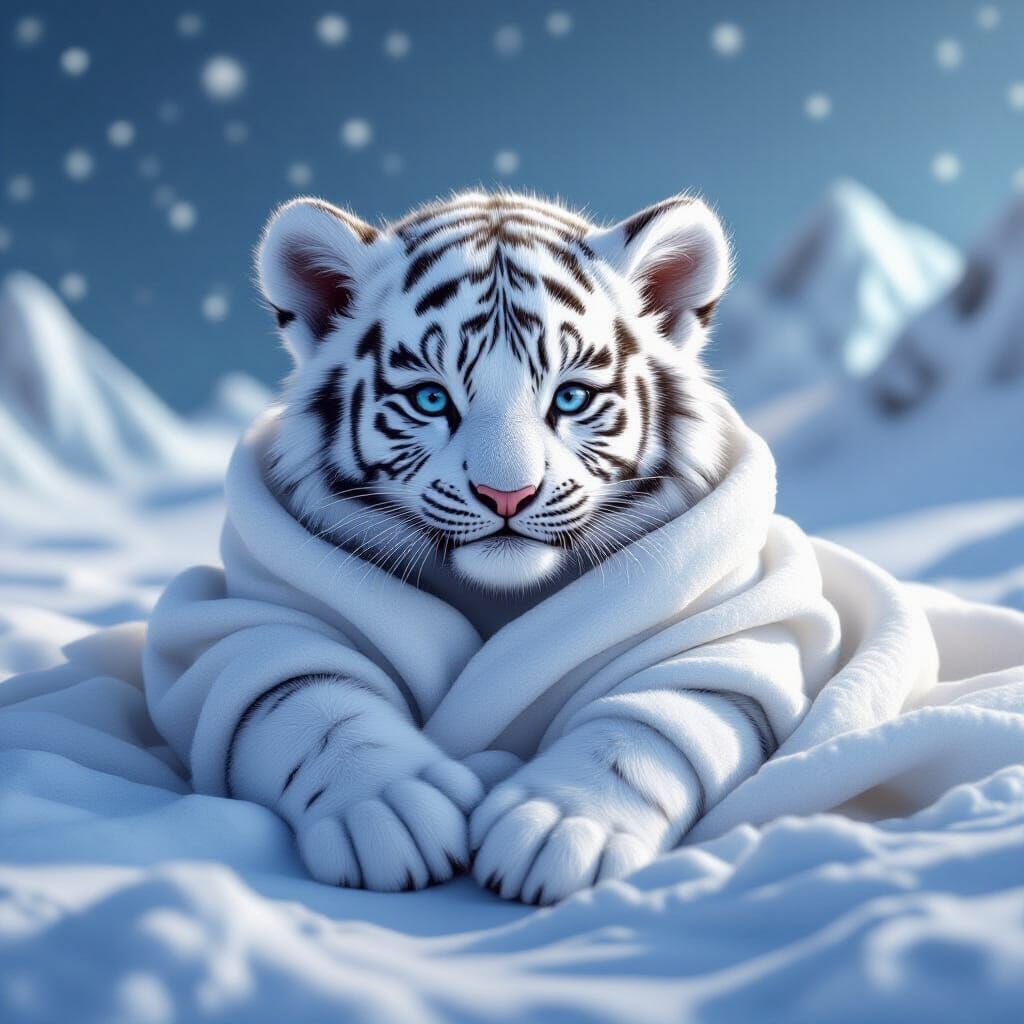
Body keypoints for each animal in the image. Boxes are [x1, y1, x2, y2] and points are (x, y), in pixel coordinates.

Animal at [228, 189, 734, 902]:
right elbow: (308, 700)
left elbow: (645, 720)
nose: (507, 495)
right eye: (429, 398)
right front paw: (386, 809)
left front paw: (562, 826)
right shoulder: (261, 620)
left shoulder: (726, 633)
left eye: (570, 397)